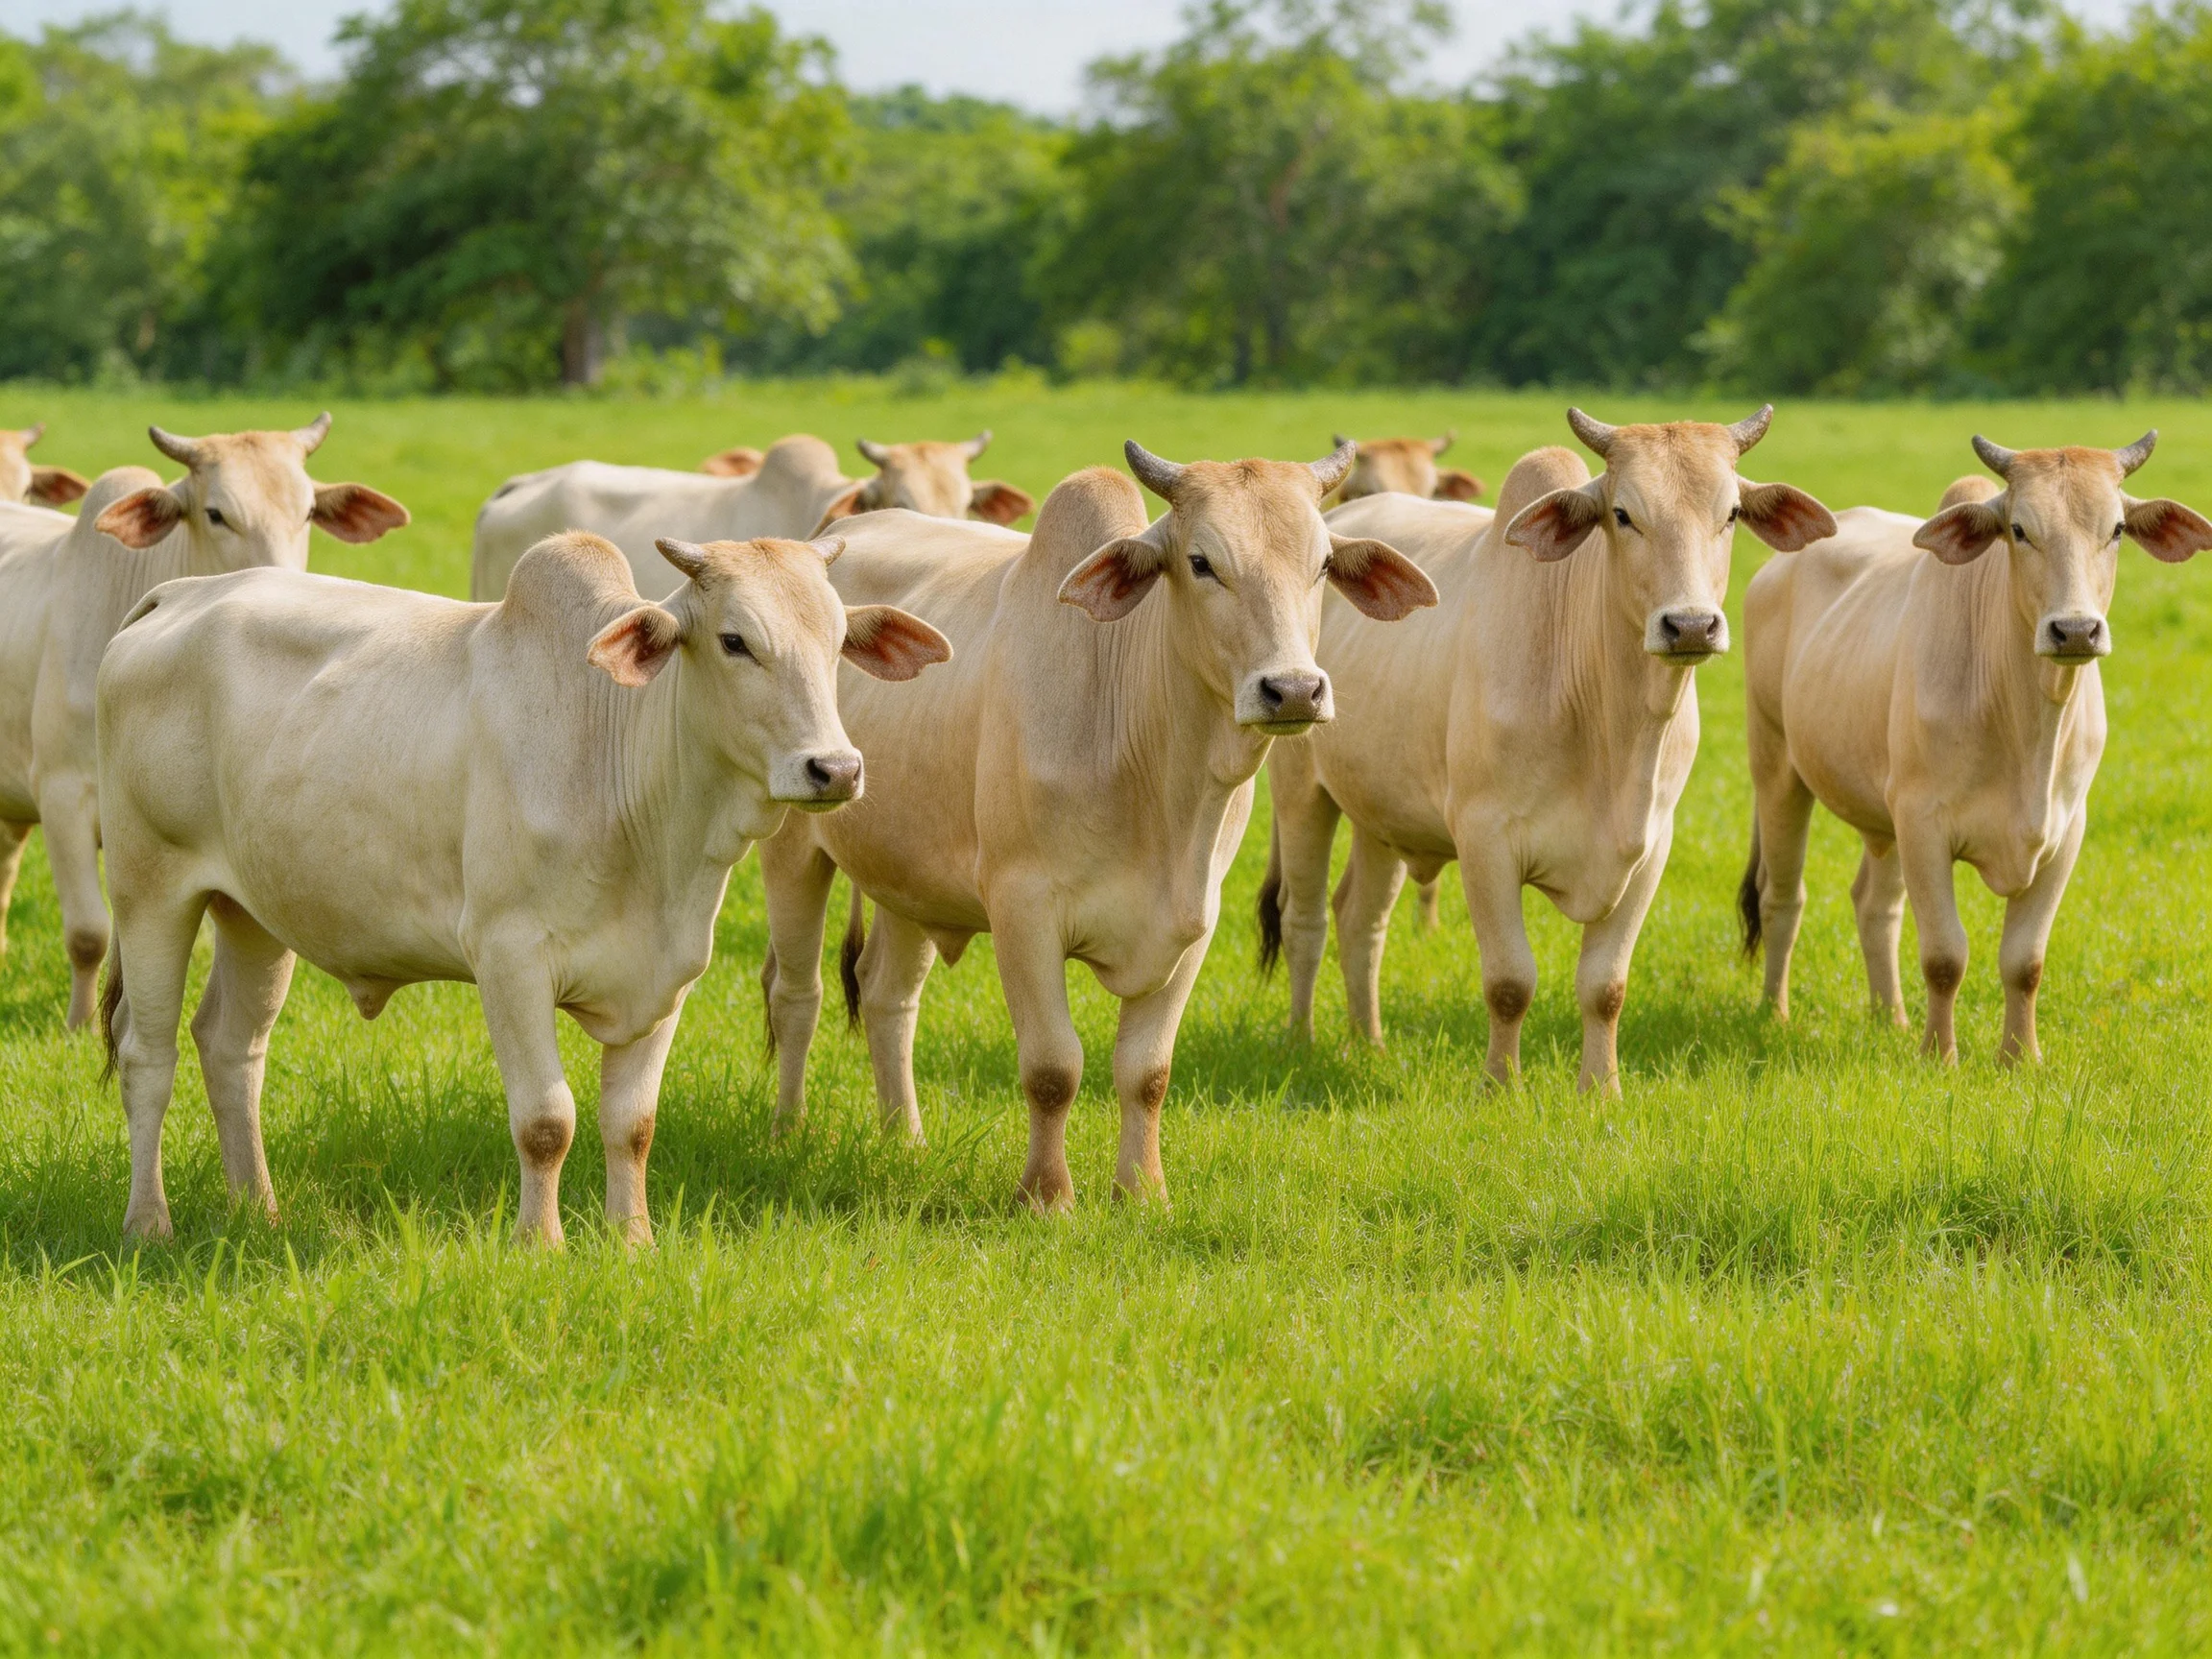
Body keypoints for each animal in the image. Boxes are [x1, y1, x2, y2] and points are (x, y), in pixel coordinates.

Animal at [95, 531, 952, 1242]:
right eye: (735, 641)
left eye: (838, 642)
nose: (834, 768)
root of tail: (179, 595)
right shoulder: (508, 958)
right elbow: (547, 1120)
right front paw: (540, 1244)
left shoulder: (669, 975)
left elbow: (631, 1123)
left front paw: (633, 1243)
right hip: (149, 889)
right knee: (147, 1055)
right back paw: (147, 1222)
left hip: (255, 914)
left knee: (232, 1047)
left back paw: (260, 1210)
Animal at [754, 442, 1437, 1209]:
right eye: (1201, 562)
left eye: (1322, 563)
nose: (1292, 690)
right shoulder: (1022, 911)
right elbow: (1053, 1068)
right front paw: (1047, 1197)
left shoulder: (1194, 922)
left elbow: (1147, 1072)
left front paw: (1143, 1192)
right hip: (794, 849)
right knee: (797, 995)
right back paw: (787, 1131)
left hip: (908, 879)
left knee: (885, 995)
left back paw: (905, 1139)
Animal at [1740, 431, 2212, 1063]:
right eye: (2019, 529)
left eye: (2116, 529)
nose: (2076, 630)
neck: (2026, 725)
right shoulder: (1923, 824)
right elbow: (1945, 956)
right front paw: (1939, 1057)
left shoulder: (2065, 833)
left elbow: (2025, 962)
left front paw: (2021, 1058)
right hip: (1776, 767)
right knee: (1782, 898)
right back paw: (1774, 1014)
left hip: (1881, 813)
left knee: (1875, 905)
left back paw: (1890, 1019)